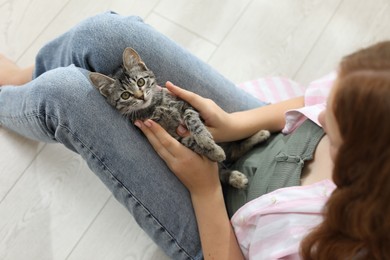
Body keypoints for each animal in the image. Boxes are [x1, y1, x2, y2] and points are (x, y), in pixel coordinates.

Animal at [89, 47, 270, 189]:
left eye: (140, 82)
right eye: (125, 95)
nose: (141, 96)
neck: (154, 106)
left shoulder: (187, 104)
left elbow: (192, 120)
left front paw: (205, 139)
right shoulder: (171, 136)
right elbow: (189, 142)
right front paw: (214, 151)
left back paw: (260, 135)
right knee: (232, 156)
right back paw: (236, 175)